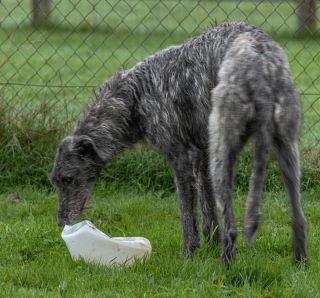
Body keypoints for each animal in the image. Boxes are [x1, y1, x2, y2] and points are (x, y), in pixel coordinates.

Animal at [52, 21, 308, 264]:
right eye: (55, 181)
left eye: (69, 179)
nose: (60, 222)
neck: (134, 96)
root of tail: (257, 55)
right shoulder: (202, 153)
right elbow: (207, 205)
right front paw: (211, 241)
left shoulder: (180, 156)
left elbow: (187, 213)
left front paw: (189, 252)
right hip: (286, 147)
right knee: (299, 214)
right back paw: (300, 261)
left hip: (224, 149)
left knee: (230, 220)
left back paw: (228, 260)